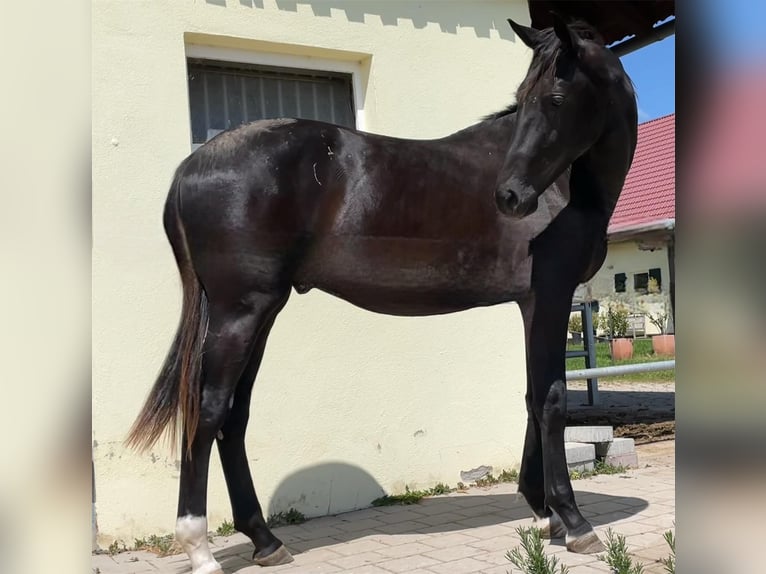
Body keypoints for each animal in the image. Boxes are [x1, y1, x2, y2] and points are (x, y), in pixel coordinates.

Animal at [126, 15, 637, 574]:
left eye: (555, 99)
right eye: (526, 98)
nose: (510, 196)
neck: (571, 188)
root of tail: (190, 166)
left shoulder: (531, 305)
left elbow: (530, 396)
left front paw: (543, 512)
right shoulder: (550, 297)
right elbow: (551, 400)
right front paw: (572, 520)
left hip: (261, 312)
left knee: (233, 418)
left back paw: (265, 540)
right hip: (240, 312)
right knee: (210, 409)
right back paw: (199, 547)